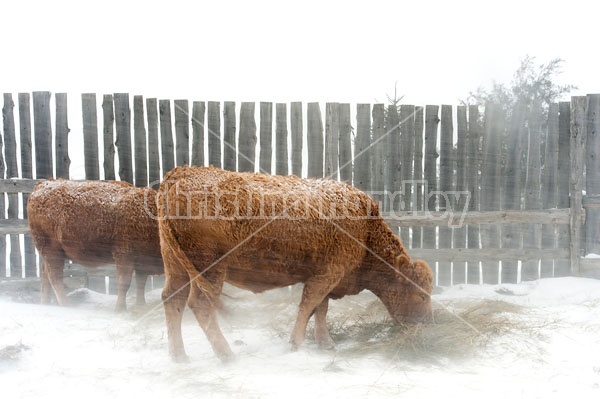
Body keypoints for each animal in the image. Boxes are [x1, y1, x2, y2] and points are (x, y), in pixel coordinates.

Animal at [27, 180, 163, 312]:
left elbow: (140, 283)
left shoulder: (141, 261)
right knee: (55, 277)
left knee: (45, 276)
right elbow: (124, 282)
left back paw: (45, 303)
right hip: (52, 252)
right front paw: (120, 309)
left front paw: (141, 306)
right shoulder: (124, 256)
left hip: (49, 254)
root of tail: (41, 186)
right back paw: (66, 305)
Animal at [157, 166, 434, 362]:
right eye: (421, 295)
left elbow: (320, 309)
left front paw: (325, 343)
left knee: (173, 300)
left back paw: (179, 355)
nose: (427, 323)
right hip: (211, 269)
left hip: (176, 267)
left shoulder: (324, 277)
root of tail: (179, 174)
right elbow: (308, 307)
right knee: (200, 304)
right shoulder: (327, 276)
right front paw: (297, 344)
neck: (365, 230)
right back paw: (226, 355)